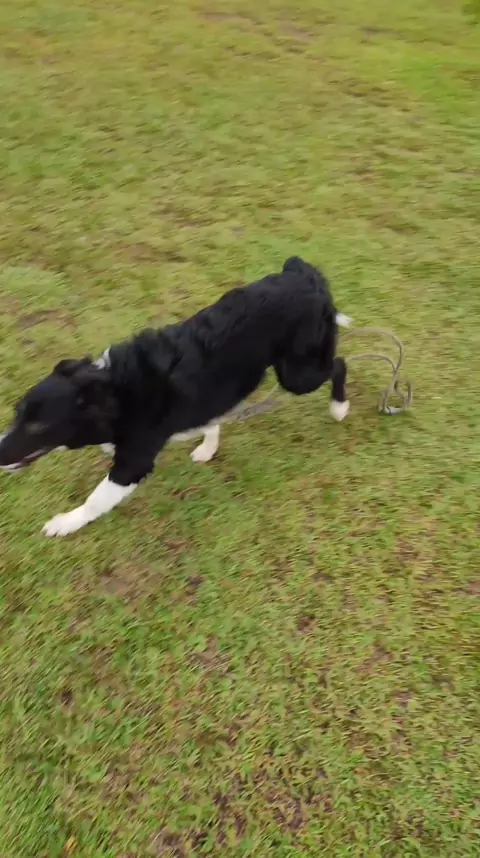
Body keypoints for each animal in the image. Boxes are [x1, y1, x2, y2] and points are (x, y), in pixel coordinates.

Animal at [0, 257, 351, 536]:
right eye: (17, 414)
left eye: (38, 427)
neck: (115, 391)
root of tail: (301, 273)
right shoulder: (208, 395)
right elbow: (210, 420)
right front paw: (208, 448)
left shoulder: (133, 463)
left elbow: (95, 501)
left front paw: (64, 523)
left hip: (298, 375)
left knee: (339, 362)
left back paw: (339, 407)